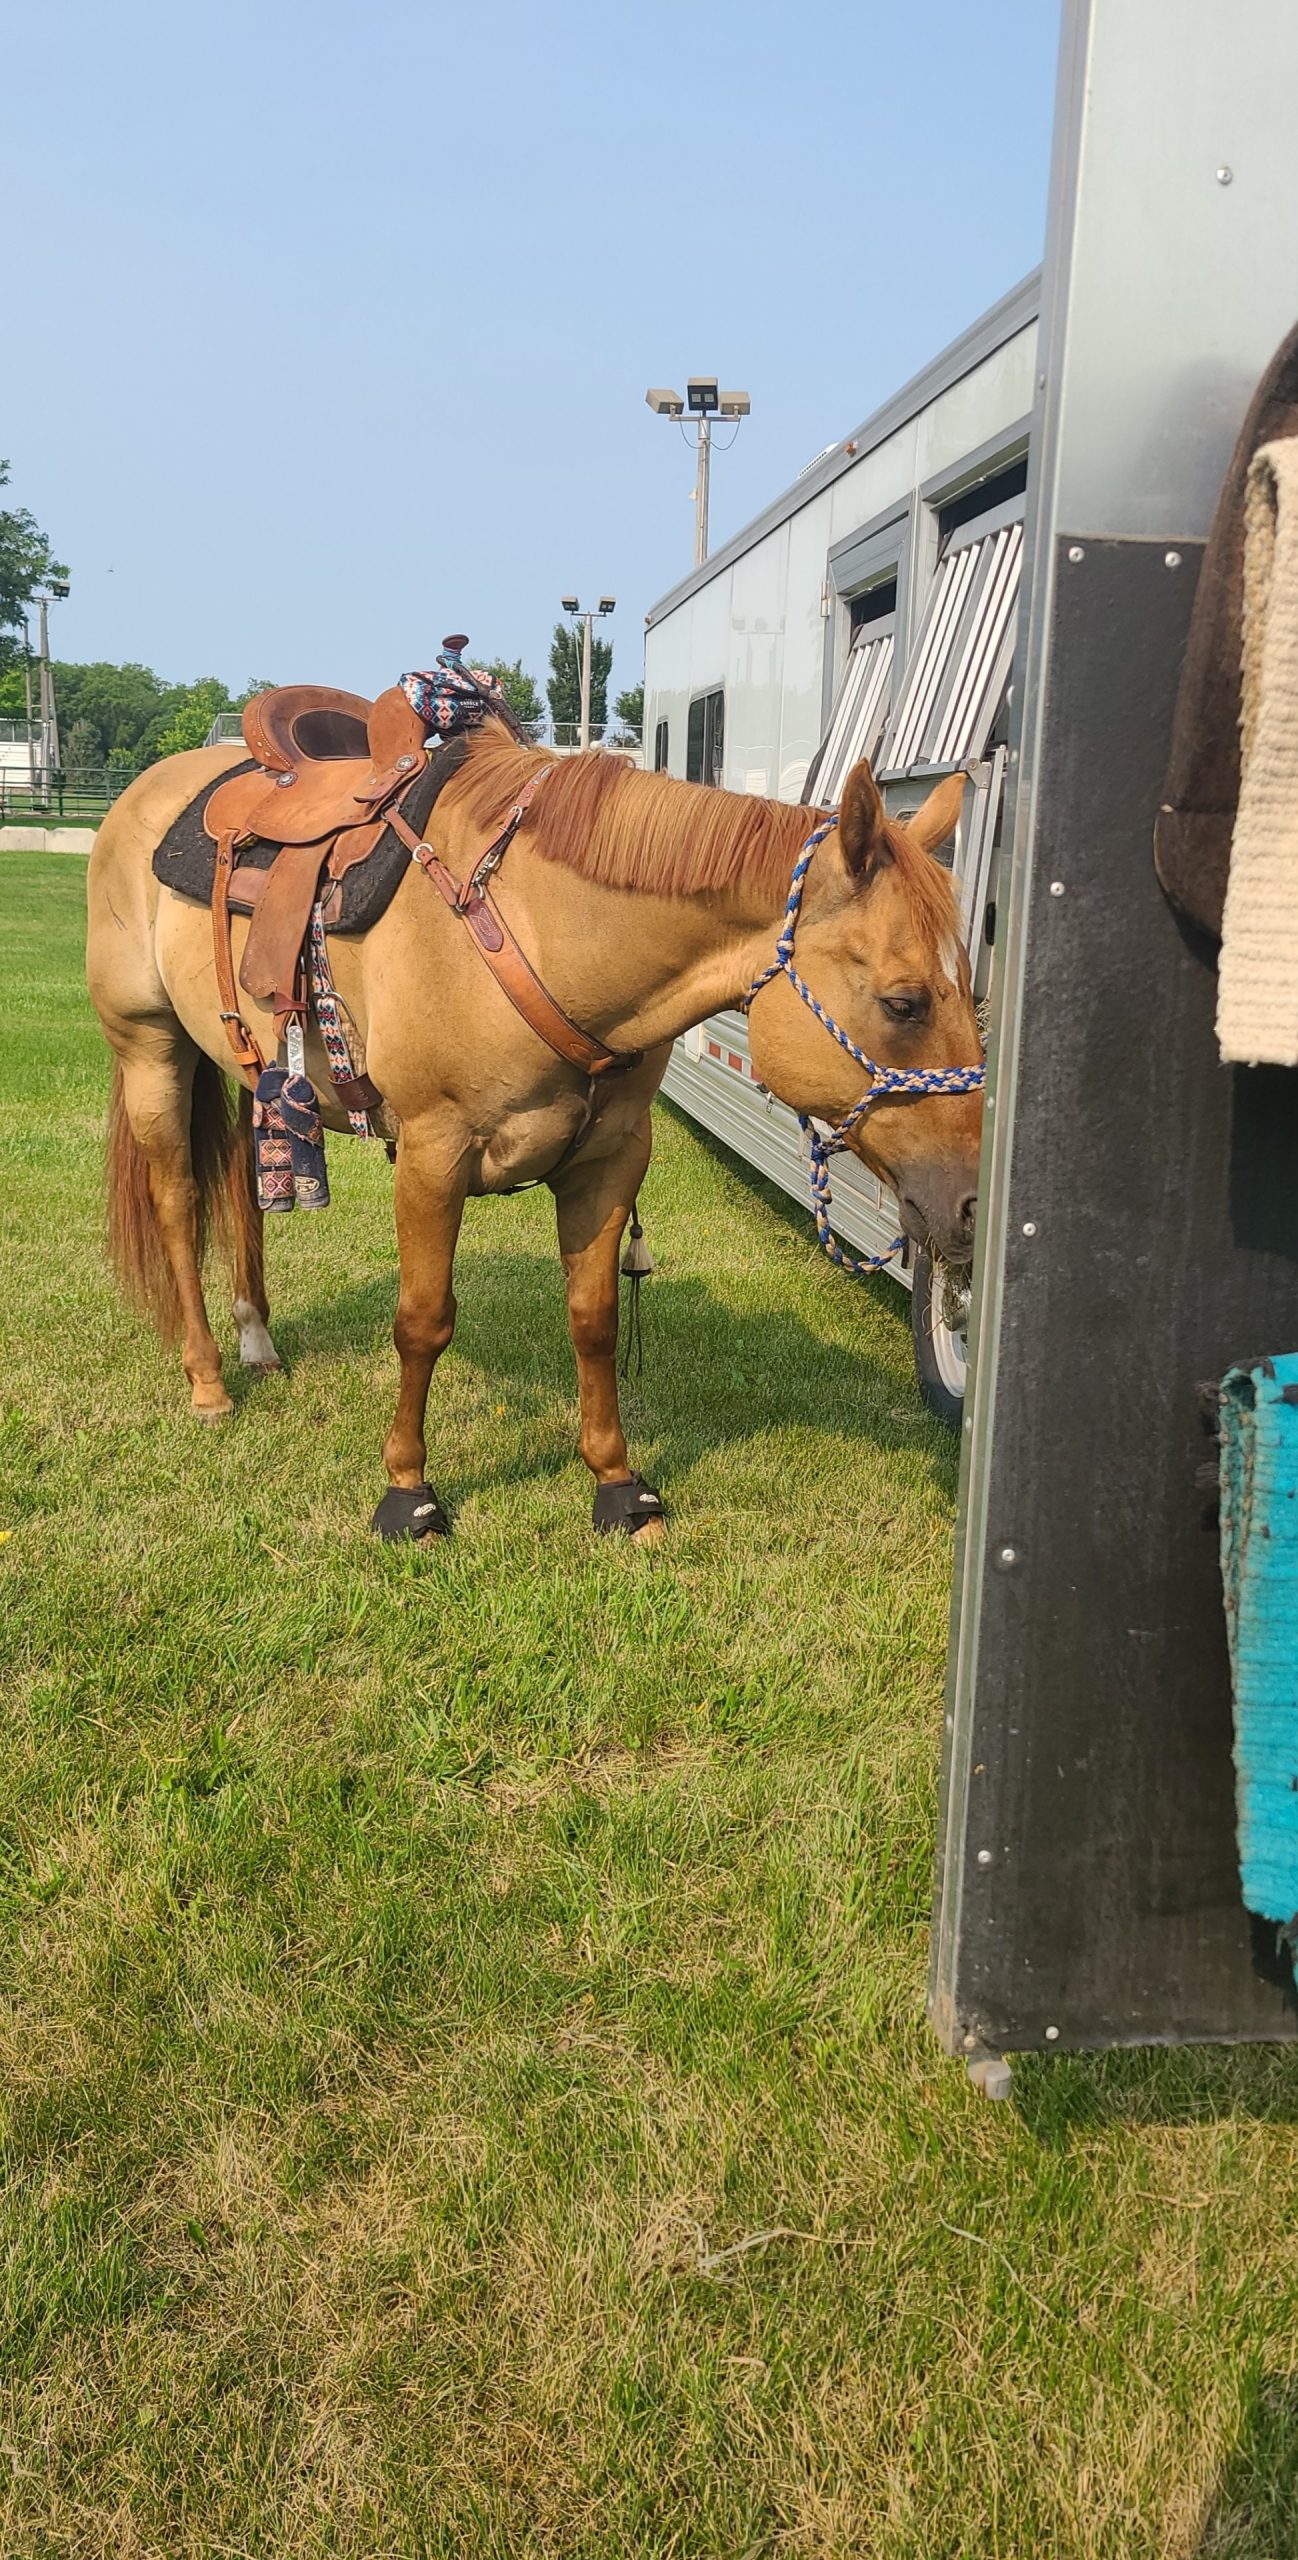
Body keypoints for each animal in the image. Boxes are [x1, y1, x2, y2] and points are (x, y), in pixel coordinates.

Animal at [86, 724, 982, 1542]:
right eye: (903, 1003)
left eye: (972, 992)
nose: (975, 1204)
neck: (546, 934)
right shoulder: (432, 1157)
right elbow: (423, 1322)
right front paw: (408, 1492)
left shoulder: (610, 1160)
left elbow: (594, 1319)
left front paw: (617, 1485)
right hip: (152, 1050)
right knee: (178, 1202)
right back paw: (208, 1380)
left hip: (251, 1075)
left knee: (243, 1190)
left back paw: (257, 1337)